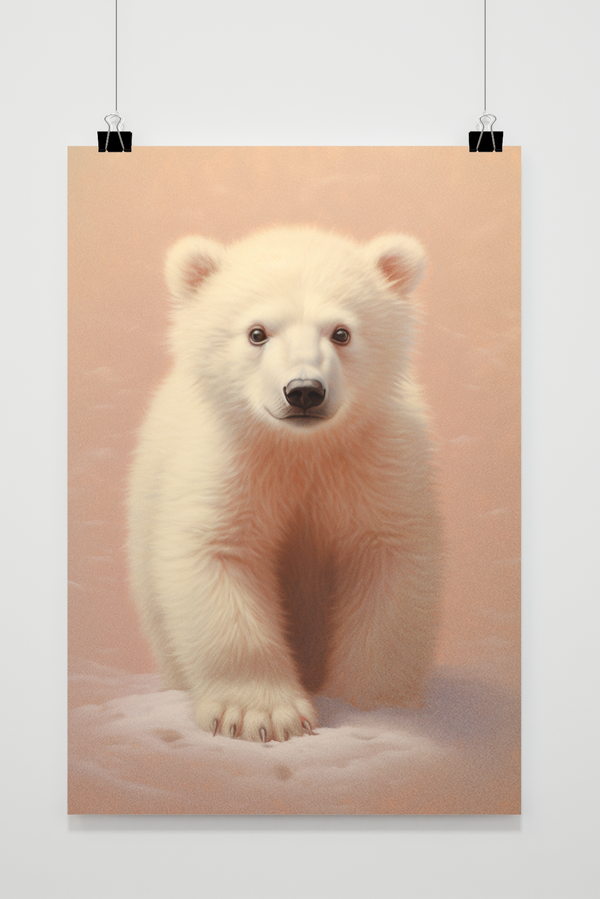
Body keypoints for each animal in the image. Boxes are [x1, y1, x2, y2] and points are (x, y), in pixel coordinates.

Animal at [128, 226, 442, 742]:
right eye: (257, 332)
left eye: (341, 332)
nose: (304, 392)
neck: (300, 449)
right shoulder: (231, 463)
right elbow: (219, 553)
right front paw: (259, 714)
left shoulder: (376, 463)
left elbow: (388, 562)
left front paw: (373, 701)